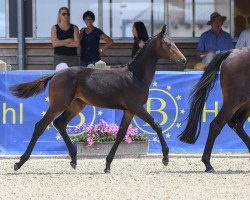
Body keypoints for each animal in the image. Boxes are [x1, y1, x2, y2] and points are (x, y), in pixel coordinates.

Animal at [9, 24, 187, 172]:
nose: (183, 60)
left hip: (76, 105)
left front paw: (107, 164)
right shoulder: (136, 107)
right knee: (40, 126)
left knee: (59, 123)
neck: (136, 76)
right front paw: (165, 158)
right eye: (169, 45)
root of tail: (56, 74)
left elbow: (121, 134)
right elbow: (157, 126)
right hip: (58, 104)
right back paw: (19, 162)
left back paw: (74, 160)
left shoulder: (129, 111)